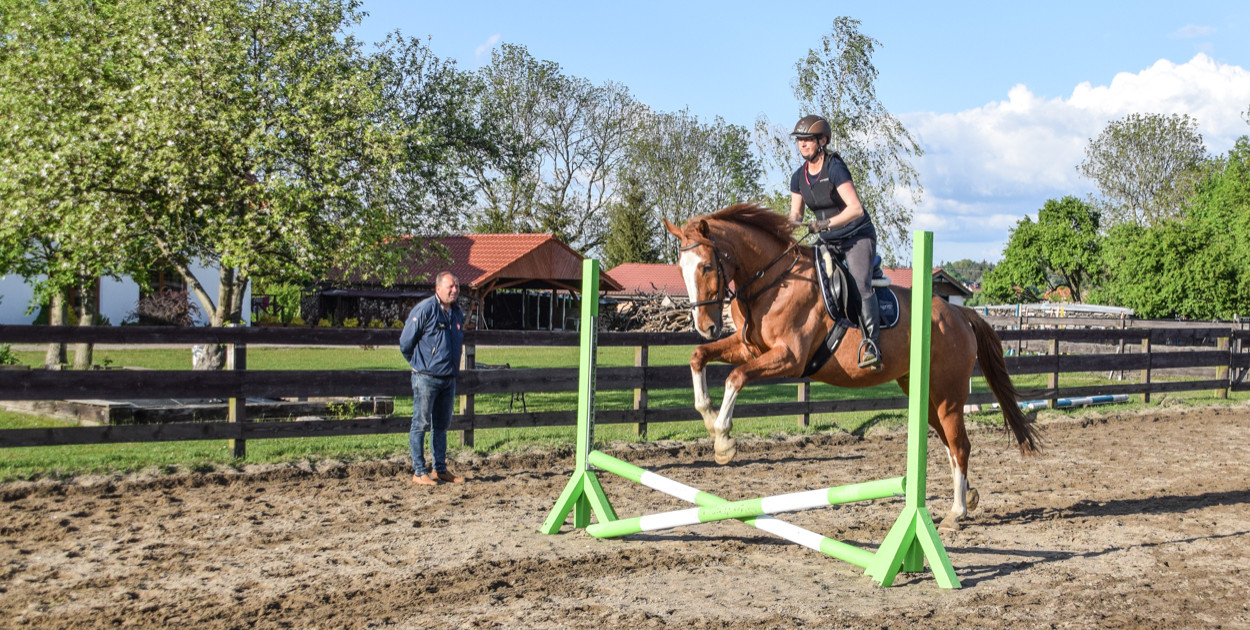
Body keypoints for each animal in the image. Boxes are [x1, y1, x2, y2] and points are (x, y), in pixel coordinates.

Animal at [660, 202, 1040, 527]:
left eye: (707, 266)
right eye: (681, 269)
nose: (705, 326)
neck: (773, 280)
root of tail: (960, 314)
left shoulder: (788, 358)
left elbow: (735, 377)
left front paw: (723, 440)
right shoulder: (749, 348)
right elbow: (698, 357)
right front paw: (707, 416)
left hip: (947, 394)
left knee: (960, 444)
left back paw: (956, 511)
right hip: (924, 393)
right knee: (950, 443)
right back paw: (968, 496)